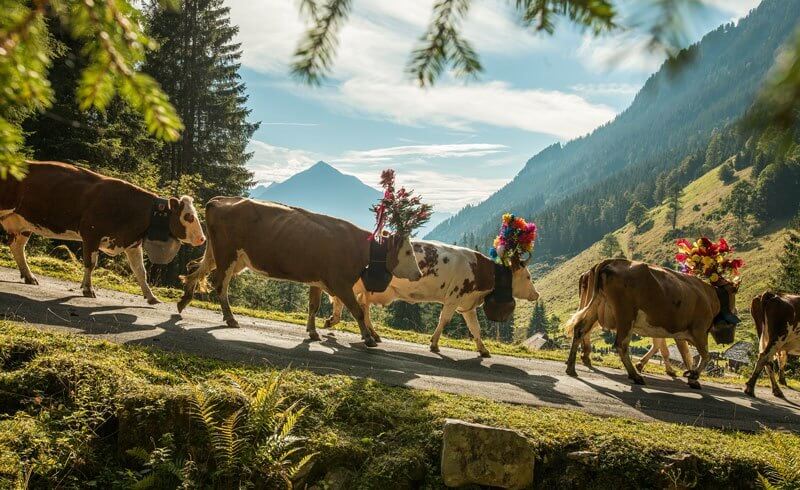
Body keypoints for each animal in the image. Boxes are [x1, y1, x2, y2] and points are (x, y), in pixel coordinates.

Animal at [0, 160, 206, 302]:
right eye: (188, 216)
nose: (202, 238)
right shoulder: (91, 234)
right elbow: (91, 263)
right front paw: (88, 289)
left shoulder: (131, 242)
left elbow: (140, 271)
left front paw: (151, 297)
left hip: (22, 224)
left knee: (17, 247)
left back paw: (29, 276)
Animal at [177, 197, 422, 346]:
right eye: (408, 251)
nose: (419, 274)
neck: (362, 249)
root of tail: (220, 200)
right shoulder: (340, 283)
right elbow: (357, 311)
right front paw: (368, 338)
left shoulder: (318, 280)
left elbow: (313, 306)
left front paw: (313, 332)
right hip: (228, 255)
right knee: (220, 285)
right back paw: (229, 318)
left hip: (225, 256)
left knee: (196, 271)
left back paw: (184, 300)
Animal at [322, 241, 540, 356]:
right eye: (528, 277)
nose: (536, 294)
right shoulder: (454, 298)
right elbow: (444, 320)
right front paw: (434, 344)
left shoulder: (467, 304)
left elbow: (475, 328)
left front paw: (483, 349)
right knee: (343, 299)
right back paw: (334, 320)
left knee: (362, 307)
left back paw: (372, 334)